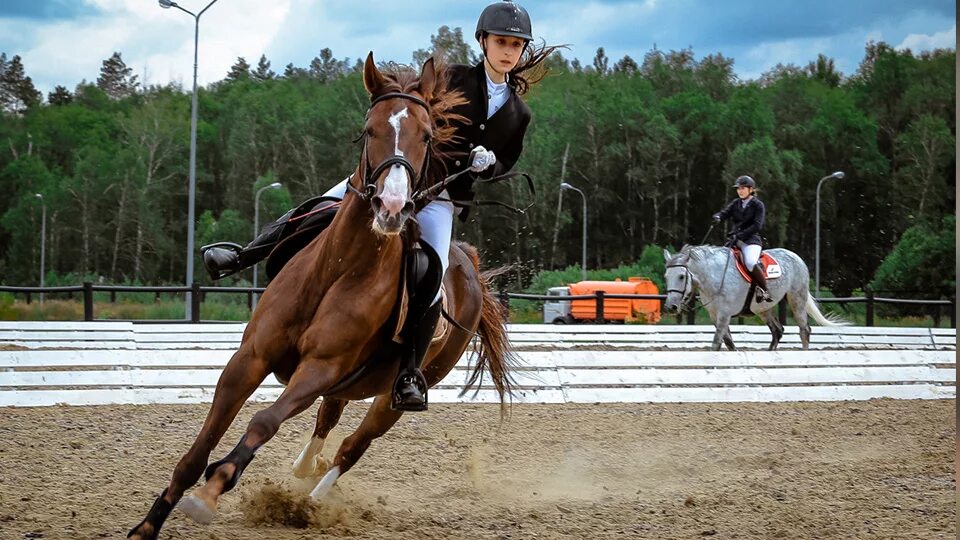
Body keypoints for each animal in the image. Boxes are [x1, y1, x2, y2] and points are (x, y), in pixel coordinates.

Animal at [130, 52, 516, 536]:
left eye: (427, 136)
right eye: (369, 130)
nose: (391, 208)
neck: (338, 267)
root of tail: (468, 261)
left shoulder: (318, 368)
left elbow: (263, 421)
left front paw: (212, 490)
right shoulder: (250, 358)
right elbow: (200, 446)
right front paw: (149, 524)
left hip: (394, 392)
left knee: (353, 445)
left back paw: (312, 501)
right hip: (349, 380)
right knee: (328, 418)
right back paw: (304, 468)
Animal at [660, 245, 848, 350]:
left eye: (681, 276)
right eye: (666, 276)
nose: (670, 307)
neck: (715, 275)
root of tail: (797, 258)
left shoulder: (724, 315)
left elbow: (716, 343)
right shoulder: (715, 315)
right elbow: (728, 343)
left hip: (797, 299)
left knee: (804, 330)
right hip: (764, 309)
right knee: (777, 331)